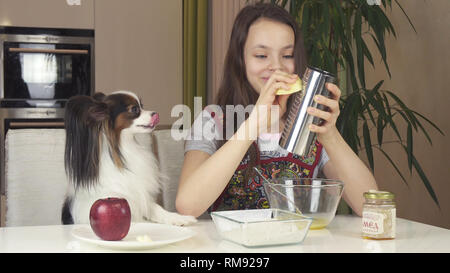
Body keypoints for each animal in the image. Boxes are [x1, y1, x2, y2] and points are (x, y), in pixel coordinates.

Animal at [62, 90, 197, 224]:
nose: (156, 114)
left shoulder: (141, 199)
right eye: (135, 109)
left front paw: (178, 218)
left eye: (142, 105)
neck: (124, 148)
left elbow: (157, 209)